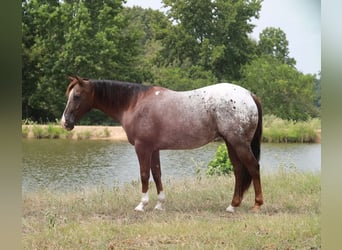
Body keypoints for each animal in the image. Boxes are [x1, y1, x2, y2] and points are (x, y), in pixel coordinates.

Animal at [61, 76, 264, 213]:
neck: (134, 103)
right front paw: (159, 204)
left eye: (77, 96)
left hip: (239, 143)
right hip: (231, 143)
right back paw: (232, 205)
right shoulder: (154, 149)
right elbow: (157, 174)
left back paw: (257, 204)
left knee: (253, 167)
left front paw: (142, 205)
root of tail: (249, 95)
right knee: (239, 170)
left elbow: (144, 175)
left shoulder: (142, 148)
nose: (65, 122)